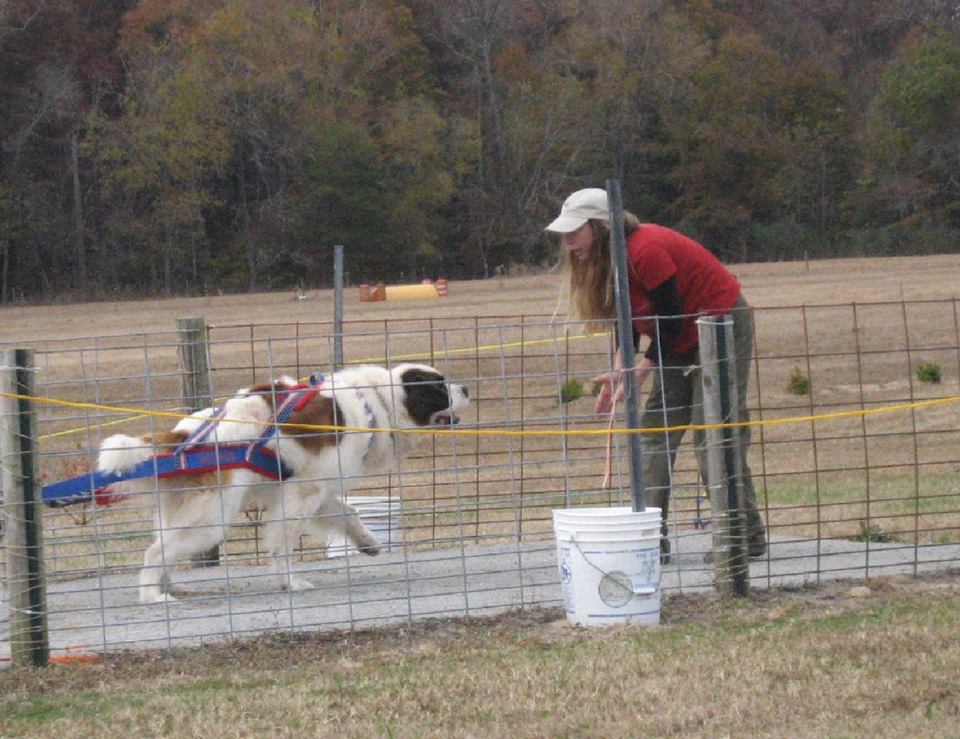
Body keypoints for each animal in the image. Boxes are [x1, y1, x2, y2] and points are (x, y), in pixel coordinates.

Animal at [97, 362, 468, 600]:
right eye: (438, 387)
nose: (465, 387)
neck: (375, 401)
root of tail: (184, 435)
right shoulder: (303, 494)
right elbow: (282, 545)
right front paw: (289, 582)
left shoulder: (320, 486)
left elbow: (348, 513)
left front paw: (367, 542)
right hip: (210, 520)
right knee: (155, 551)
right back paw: (152, 595)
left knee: (164, 546)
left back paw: (170, 586)